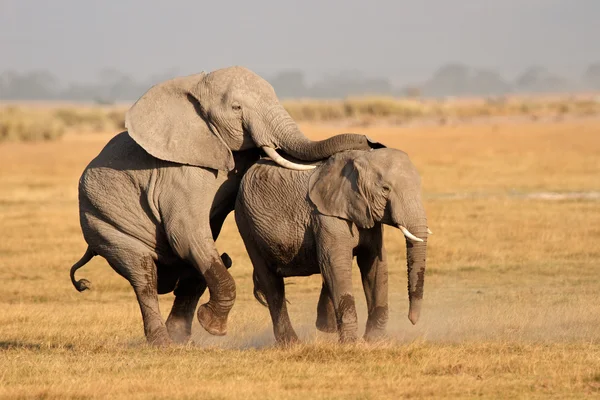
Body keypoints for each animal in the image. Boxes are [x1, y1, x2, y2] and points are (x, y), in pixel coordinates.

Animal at [68, 66, 382, 346]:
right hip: (102, 223)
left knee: (200, 267)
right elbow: (185, 235)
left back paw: (180, 339)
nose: (372, 141)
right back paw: (164, 343)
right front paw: (212, 327)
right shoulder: (178, 175)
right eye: (236, 108)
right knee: (144, 275)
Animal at [236, 147, 432, 344]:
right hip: (246, 223)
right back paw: (291, 343)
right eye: (385, 189)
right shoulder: (325, 215)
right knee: (271, 284)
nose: (412, 320)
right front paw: (352, 344)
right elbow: (335, 264)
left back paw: (324, 328)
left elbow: (375, 264)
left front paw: (374, 341)